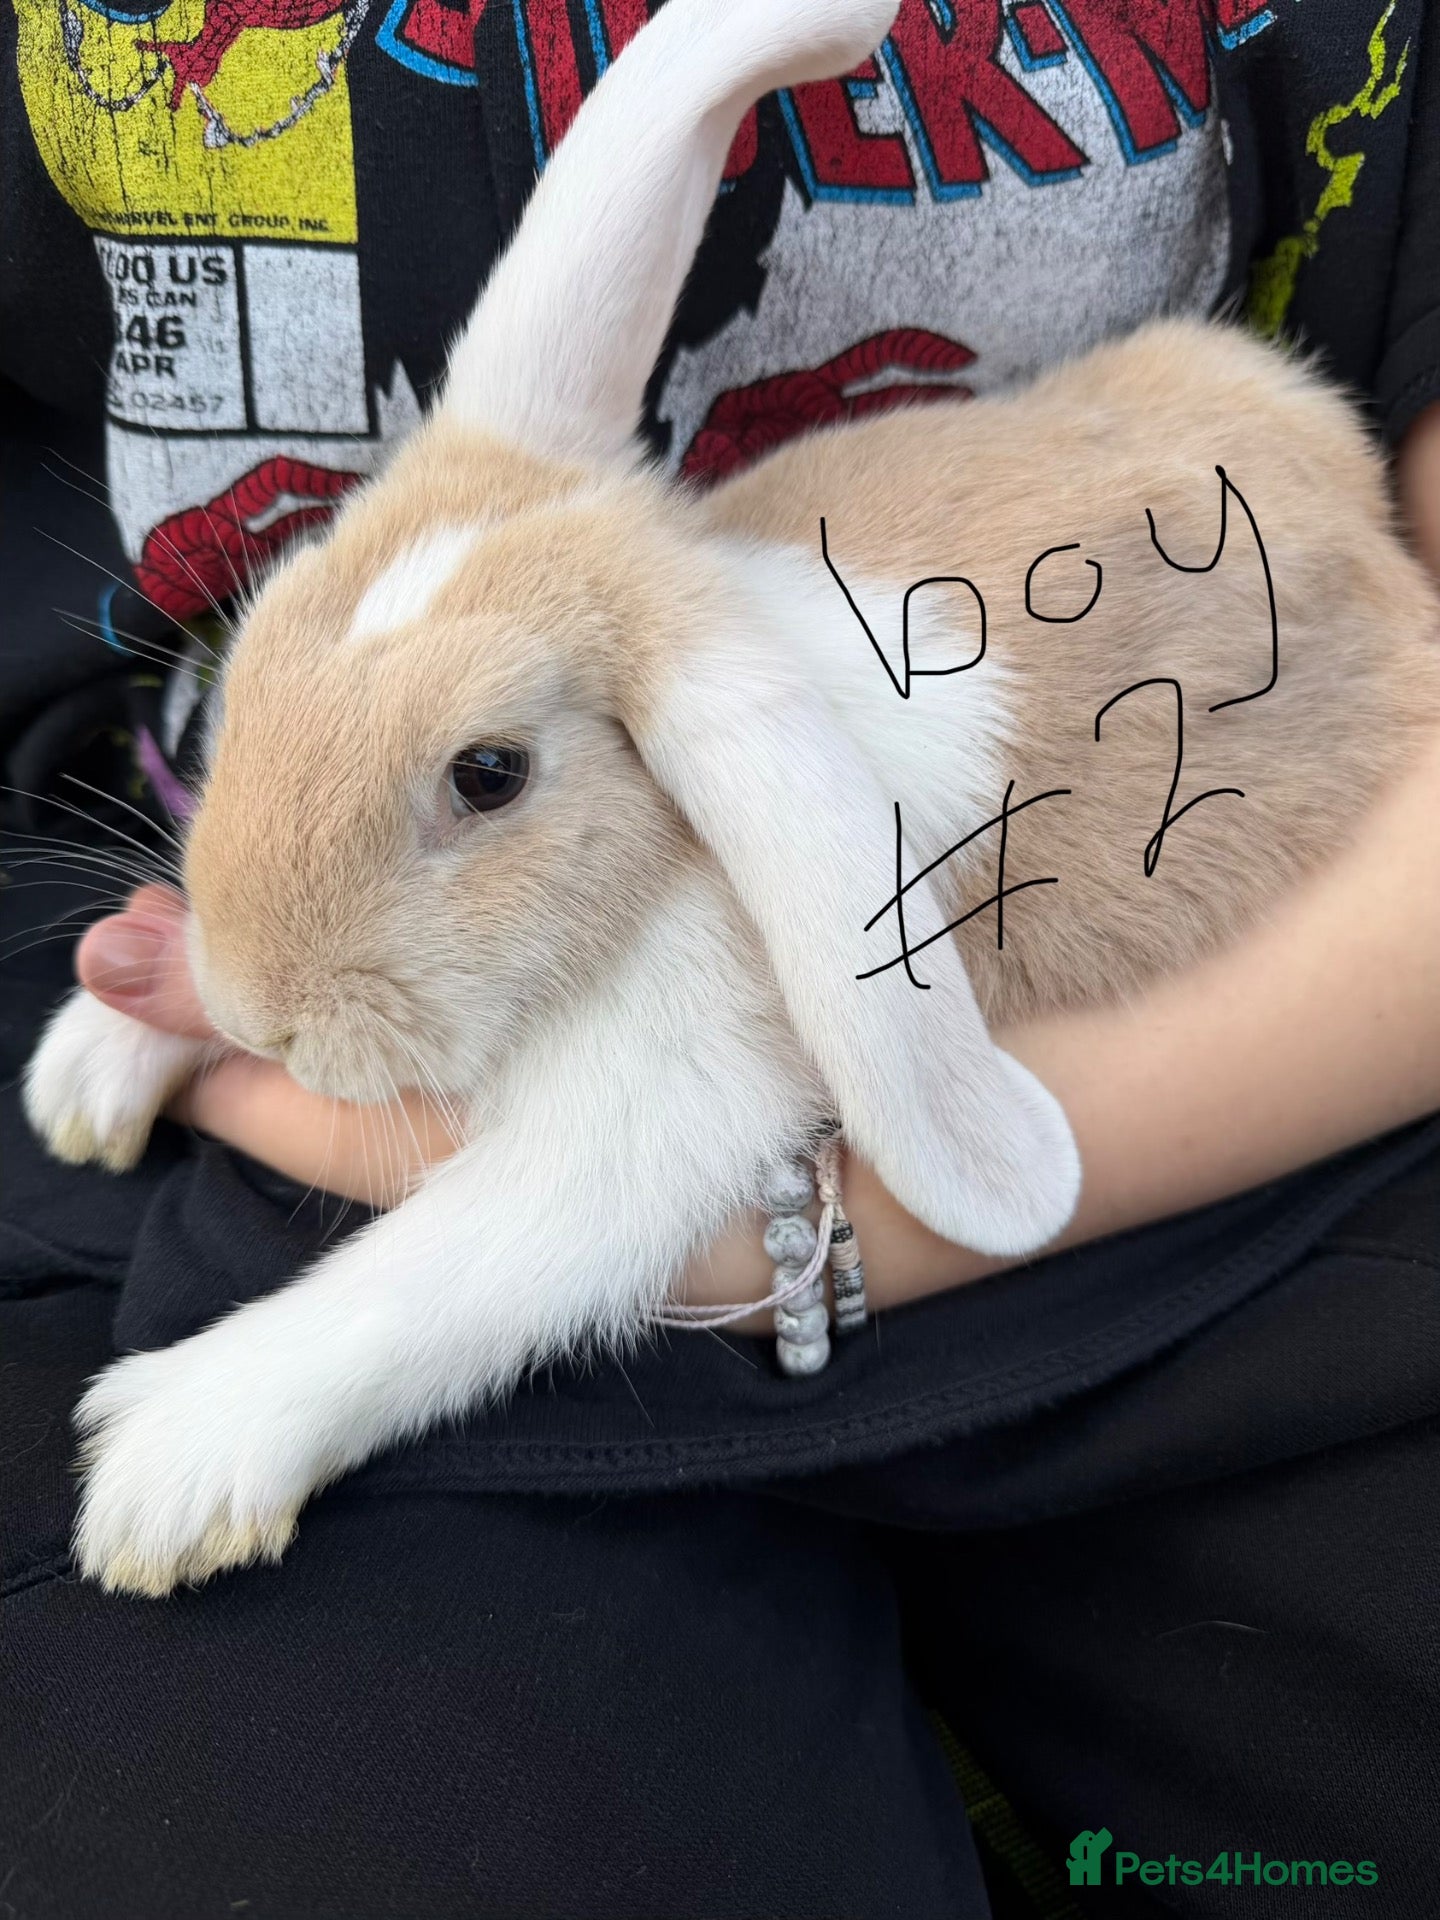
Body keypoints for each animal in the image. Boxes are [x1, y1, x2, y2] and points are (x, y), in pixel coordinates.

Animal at [24, 0, 1440, 1598]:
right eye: (258, 634)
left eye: (489, 776)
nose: (263, 1011)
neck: (646, 871)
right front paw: (93, 1066)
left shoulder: (657, 1116)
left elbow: (444, 1277)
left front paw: (168, 1467)